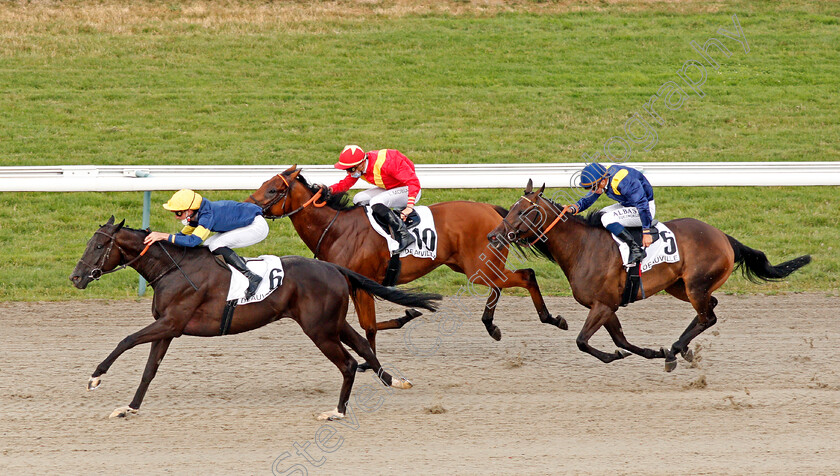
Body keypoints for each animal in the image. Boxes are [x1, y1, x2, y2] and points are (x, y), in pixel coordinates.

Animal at [69, 217, 442, 420]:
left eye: (98, 246)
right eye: (88, 242)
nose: (76, 277)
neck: (173, 268)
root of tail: (333, 266)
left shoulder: (171, 322)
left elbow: (126, 339)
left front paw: (95, 377)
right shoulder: (168, 329)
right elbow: (149, 371)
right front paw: (129, 408)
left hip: (319, 329)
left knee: (349, 363)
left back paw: (337, 412)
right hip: (332, 323)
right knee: (363, 345)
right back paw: (395, 380)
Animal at [246, 166, 568, 360]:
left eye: (273, 189)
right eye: (264, 183)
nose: (248, 206)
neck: (336, 228)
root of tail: (494, 211)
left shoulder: (361, 284)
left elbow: (369, 326)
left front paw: (371, 361)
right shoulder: (354, 284)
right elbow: (371, 324)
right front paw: (408, 314)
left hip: (480, 267)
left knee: (525, 276)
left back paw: (550, 318)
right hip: (476, 266)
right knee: (501, 285)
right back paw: (491, 325)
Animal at [488, 181, 812, 372]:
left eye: (524, 211)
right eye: (511, 208)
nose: (493, 236)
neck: (583, 247)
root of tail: (723, 236)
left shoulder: (603, 304)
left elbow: (582, 341)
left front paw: (619, 356)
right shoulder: (607, 305)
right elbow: (621, 339)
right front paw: (649, 352)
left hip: (695, 285)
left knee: (709, 317)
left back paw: (677, 350)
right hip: (680, 286)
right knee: (710, 308)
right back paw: (681, 350)